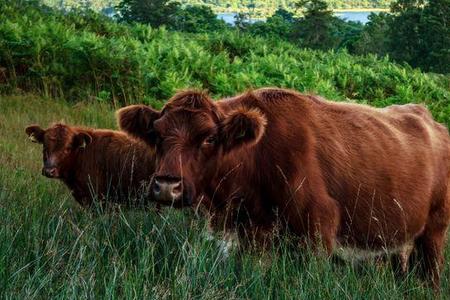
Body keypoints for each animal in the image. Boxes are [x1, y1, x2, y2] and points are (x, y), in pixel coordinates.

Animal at [117, 88, 450, 290]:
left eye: (209, 138)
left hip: (433, 232)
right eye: (156, 135)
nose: (166, 185)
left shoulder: (318, 233)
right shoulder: (250, 237)